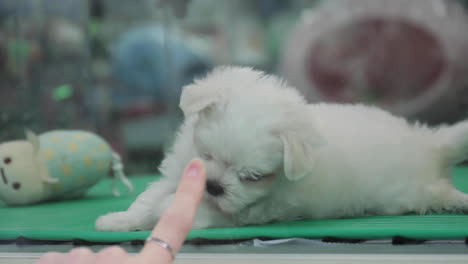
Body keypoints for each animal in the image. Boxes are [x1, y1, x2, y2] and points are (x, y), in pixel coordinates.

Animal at [95, 66, 468, 231]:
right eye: (206, 155)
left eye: (252, 177)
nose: (213, 186)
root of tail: (427, 145)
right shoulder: (178, 169)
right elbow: (147, 199)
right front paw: (118, 220)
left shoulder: (258, 208)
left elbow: (202, 211)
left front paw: (170, 210)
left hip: (415, 192)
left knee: (438, 193)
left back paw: (459, 201)